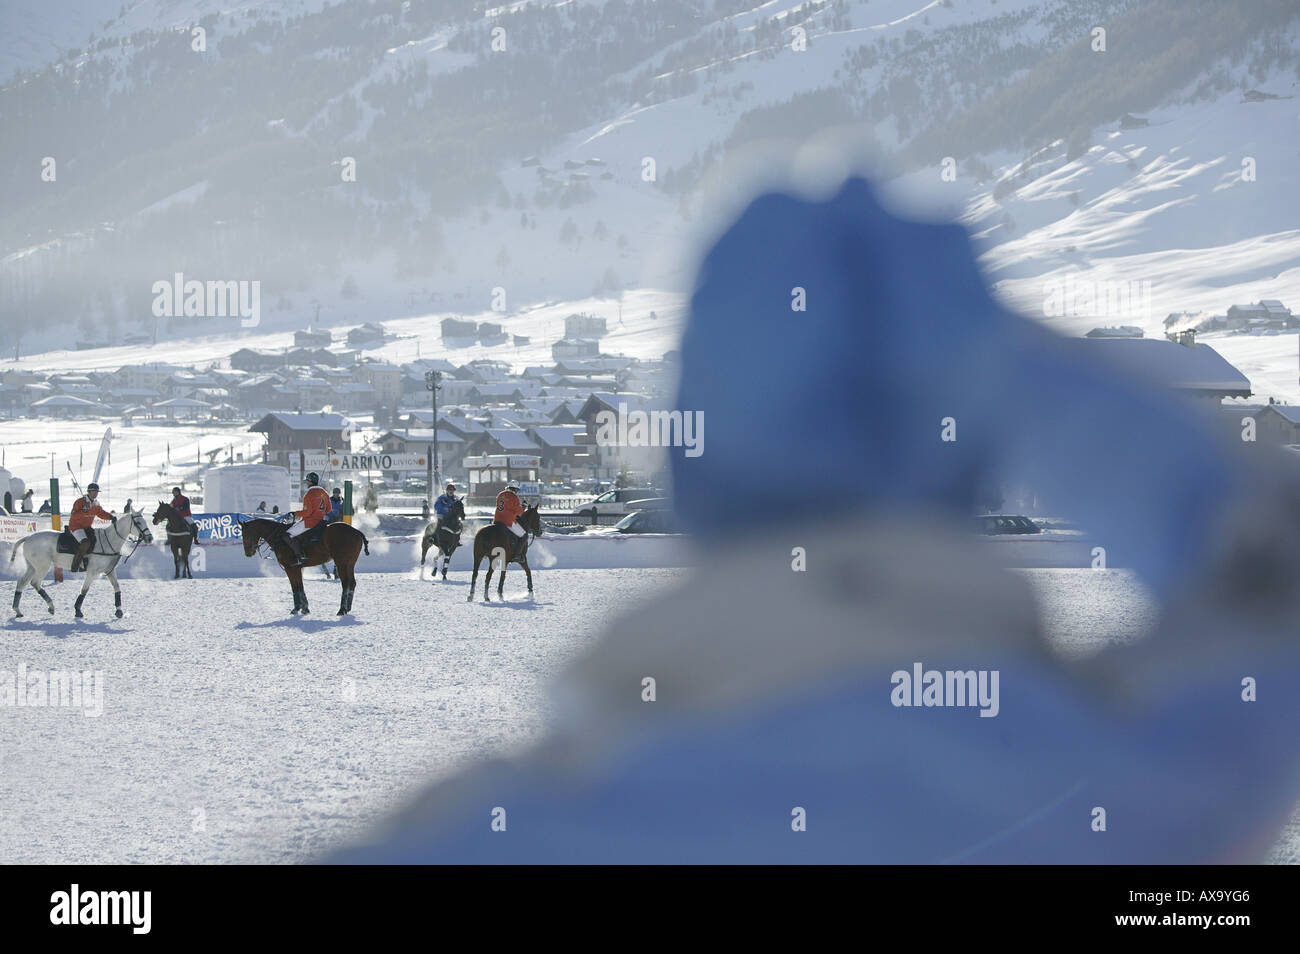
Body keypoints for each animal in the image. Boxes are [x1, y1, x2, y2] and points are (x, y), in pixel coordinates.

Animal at [10, 512, 153, 623]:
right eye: (138, 523)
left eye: (145, 521)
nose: (150, 538)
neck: (109, 542)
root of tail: (28, 537)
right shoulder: (92, 572)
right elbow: (84, 590)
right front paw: (78, 610)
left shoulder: (110, 571)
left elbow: (117, 588)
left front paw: (119, 611)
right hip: (42, 566)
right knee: (35, 583)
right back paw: (51, 607)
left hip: (32, 566)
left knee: (22, 582)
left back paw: (18, 610)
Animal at [241, 519, 371, 616]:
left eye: (246, 534)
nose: (248, 553)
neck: (278, 537)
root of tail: (356, 531)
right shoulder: (297, 568)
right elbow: (299, 587)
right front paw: (304, 609)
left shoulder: (290, 567)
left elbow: (296, 588)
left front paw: (297, 609)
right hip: (349, 563)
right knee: (352, 583)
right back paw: (347, 608)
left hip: (341, 563)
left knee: (346, 584)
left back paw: (342, 610)